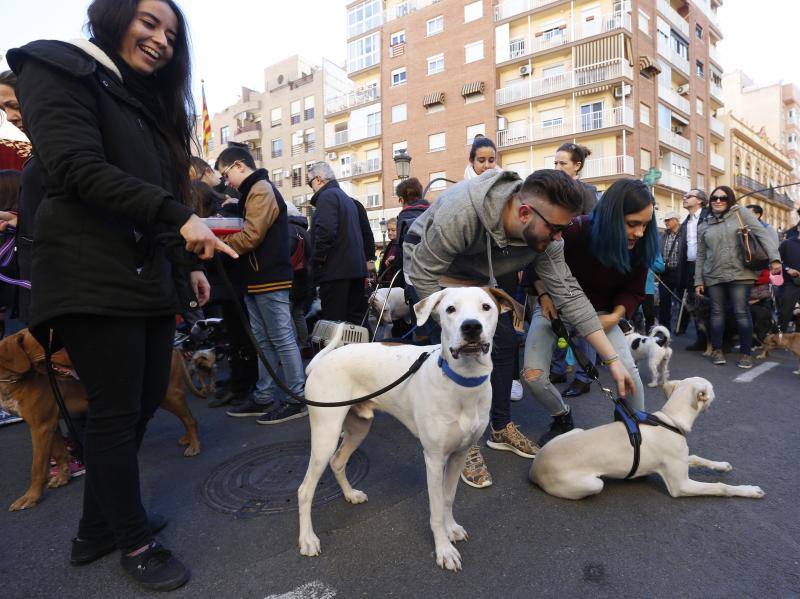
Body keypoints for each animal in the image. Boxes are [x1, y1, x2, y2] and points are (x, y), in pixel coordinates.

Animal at [0, 330, 200, 512]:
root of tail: (174, 347)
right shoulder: (49, 423)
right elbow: (59, 453)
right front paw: (63, 477)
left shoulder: (40, 426)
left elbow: (38, 467)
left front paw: (31, 497)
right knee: (186, 417)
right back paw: (187, 438)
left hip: (167, 394)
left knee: (190, 418)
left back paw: (194, 445)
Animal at [298, 286, 520, 572]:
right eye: (450, 309)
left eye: (486, 307)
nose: (471, 327)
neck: (462, 382)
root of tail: (319, 363)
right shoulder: (434, 459)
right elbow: (435, 510)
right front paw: (443, 550)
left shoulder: (459, 455)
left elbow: (448, 498)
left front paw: (451, 529)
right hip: (325, 434)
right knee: (305, 490)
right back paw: (307, 540)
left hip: (358, 427)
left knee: (338, 461)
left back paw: (350, 494)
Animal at [528, 380, 764, 502]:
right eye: (711, 388)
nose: (717, 392)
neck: (670, 420)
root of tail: (534, 468)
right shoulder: (681, 486)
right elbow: (720, 488)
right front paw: (750, 490)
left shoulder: (681, 460)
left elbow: (698, 457)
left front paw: (722, 465)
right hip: (594, 484)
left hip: (577, 430)